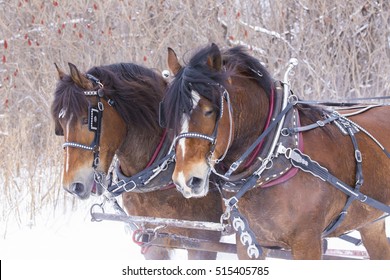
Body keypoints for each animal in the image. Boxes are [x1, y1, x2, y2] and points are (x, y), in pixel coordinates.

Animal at [163, 42, 390, 260]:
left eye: (209, 111)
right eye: (169, 114)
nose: (186, 180)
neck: (277, 152)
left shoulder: (307, 243)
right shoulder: (248, 243)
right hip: (370, 223)